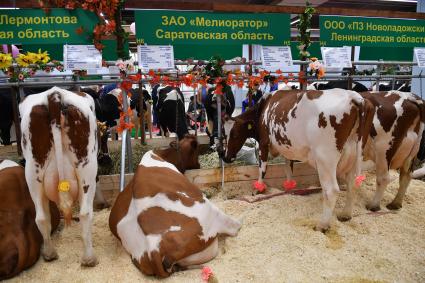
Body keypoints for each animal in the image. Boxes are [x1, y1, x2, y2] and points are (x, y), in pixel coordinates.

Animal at [20, 87, 99, 268]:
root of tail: (54, 94)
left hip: (33, 173)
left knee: (41, 217)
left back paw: (49, 254)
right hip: (87, 168)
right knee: (85, 213)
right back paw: (89, 258)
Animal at [109, 136, 240, 280]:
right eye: (196, 151)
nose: (198, 165)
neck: (161, 155)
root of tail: (153, 248)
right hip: (210, 213)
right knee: (232, 226)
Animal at [220, 89, 372, 233]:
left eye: (234, 134)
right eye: (224, 133)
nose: (226, 157)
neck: (264, 106)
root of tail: (353, 97)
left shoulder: (263, 143)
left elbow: (262, 168)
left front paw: (258, 189)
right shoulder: (288, 147)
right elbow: (288, 168)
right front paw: (289, 188)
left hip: (325, 158)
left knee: (331, 190)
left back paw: (322, 225)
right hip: (355, 153)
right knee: (351, 184)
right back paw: (345, 215)